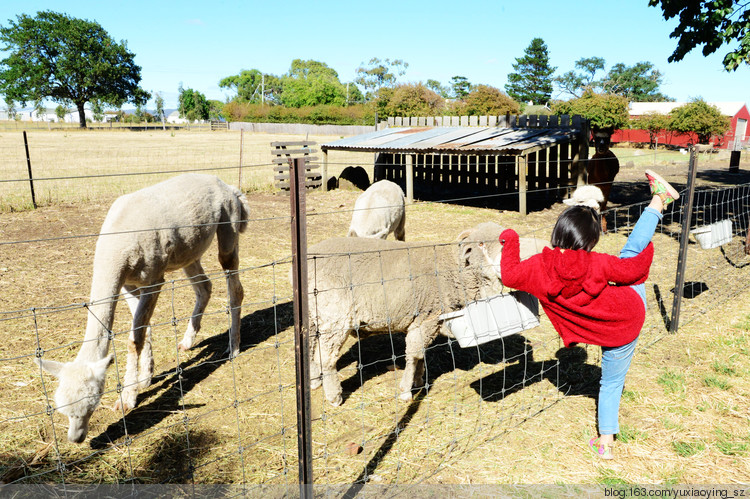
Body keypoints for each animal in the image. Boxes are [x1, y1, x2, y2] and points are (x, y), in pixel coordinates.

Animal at [33, 174, 250, 444]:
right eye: (61, 407)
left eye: (92, 405)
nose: (76, 438)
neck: (118, 246)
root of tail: (229, 187)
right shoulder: (128, 283)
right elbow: (143, 330)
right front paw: (146, 377)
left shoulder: (154, 278)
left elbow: (134, 338)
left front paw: (126, 399)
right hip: (190, 249)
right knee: (204, 286)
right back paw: (187, 342)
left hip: (229, 225)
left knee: (234, 286)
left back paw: (233, 347)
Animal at [306, 223, 548, 406]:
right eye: (480, 244)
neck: (454, 271)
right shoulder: (427, 318)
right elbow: (414, 354)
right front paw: (406, 390)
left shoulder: (428, 321)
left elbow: (421, 354)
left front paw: (419, 379)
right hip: (335, 317)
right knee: (326, 357)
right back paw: (334, 396)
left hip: (314, 317)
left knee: (311, 349)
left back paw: (314, 381)